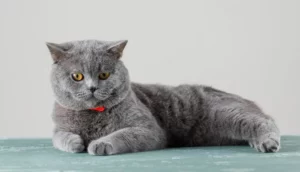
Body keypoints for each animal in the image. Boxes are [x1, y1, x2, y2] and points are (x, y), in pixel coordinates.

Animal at [45, 39, 280, 155]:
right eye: (77, 76)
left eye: (104, 75)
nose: (92, 88)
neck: (93, 115)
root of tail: (249, 101)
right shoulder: (58, 126)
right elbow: (58, 137)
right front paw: (74, 142)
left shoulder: (149, 130)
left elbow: (122, 134)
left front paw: (100, 144)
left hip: (225, 113)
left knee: (265, 121)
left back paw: (267, 143)